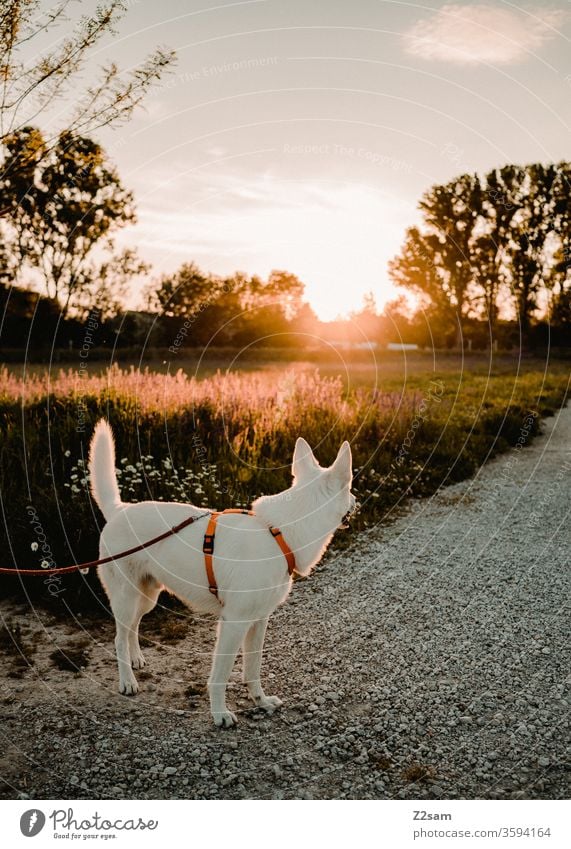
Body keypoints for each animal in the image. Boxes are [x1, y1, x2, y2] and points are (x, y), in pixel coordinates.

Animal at [88, 420, 354, 724]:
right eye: (350, 488)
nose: (356, 500)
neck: (279, 533)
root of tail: (119, 510)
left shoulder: (259, 620)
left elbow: (252, 669)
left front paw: (260, 701)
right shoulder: (233, 623)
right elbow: (221, 675)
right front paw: (219, 713)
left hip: (147, 598)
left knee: (132, 628)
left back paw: (136, 660)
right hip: (126, 597)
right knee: (119, 638)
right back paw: (127, 681)